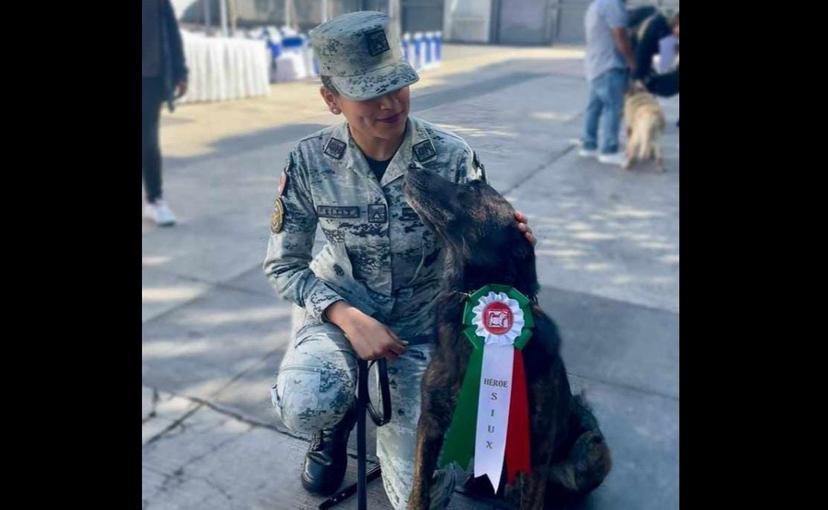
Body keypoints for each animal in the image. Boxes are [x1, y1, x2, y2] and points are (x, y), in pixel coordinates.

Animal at [404, 166, 612, 506]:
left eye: (473, 187)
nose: (413, 167)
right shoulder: (431, 423)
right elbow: (419, 487)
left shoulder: (536, 447)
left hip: (590, 450)